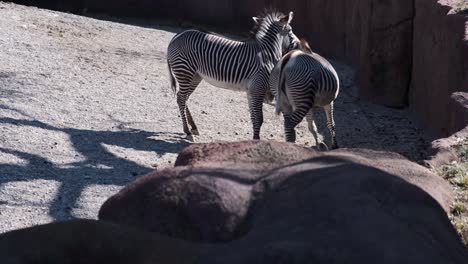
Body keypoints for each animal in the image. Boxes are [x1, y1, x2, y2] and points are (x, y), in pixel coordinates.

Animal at [167, 11, 296, 139]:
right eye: (290, 30)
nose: (297, 44)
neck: (267, 54)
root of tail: (177, 36)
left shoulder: (251, 91)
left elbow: (253, 118)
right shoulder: (258, 88)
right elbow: (259, 119)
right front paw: (256, 140)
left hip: (195, 76)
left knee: (184, 98)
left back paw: (193, 127)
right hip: (185, 72)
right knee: (181, 98)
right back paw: (187, 130)